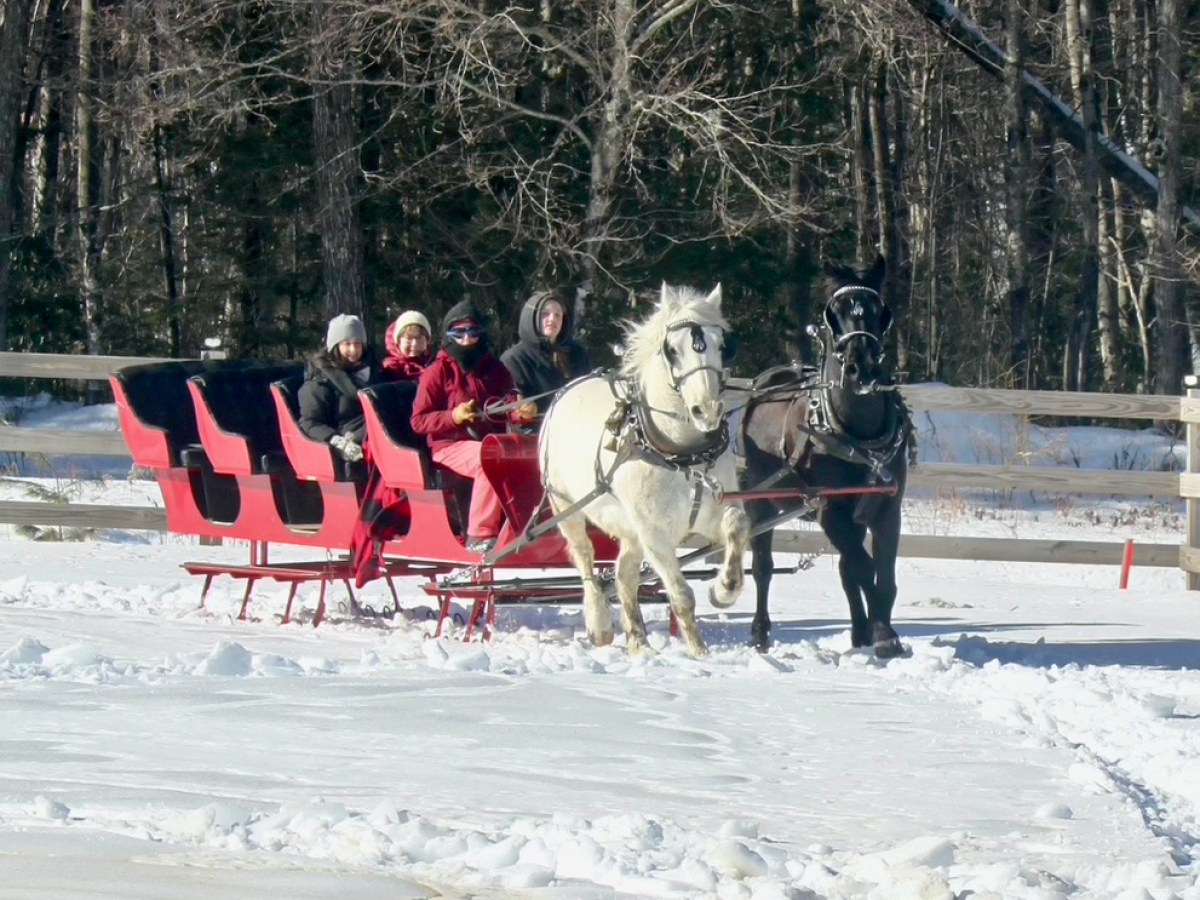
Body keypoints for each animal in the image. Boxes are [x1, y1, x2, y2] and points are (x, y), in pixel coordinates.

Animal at [538, 283, 750, 657]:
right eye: (672, 350)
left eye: (721, 344)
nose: (707, 410)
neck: (680, 453)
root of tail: (568, 388)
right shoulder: (655, 533)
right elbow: (681, 596)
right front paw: (699, 652)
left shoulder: (710, 513)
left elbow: (737, 525)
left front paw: (724, 588)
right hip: (565, 505)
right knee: (585, 558)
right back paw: (600, 624)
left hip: (627, 526)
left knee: (624, 575)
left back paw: (638, 641)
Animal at [739, 256, 912, 658]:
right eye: (835, 312)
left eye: (881, 310)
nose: (862, 368)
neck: (858, 436)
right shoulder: (830, 511)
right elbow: (864, 567)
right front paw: (884, 634)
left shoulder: (886, 509)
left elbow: (882, 574)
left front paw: (877, 631)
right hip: (758, 502)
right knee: (762, 566)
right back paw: (760, 632)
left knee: (846, 569)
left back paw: (858, 633)